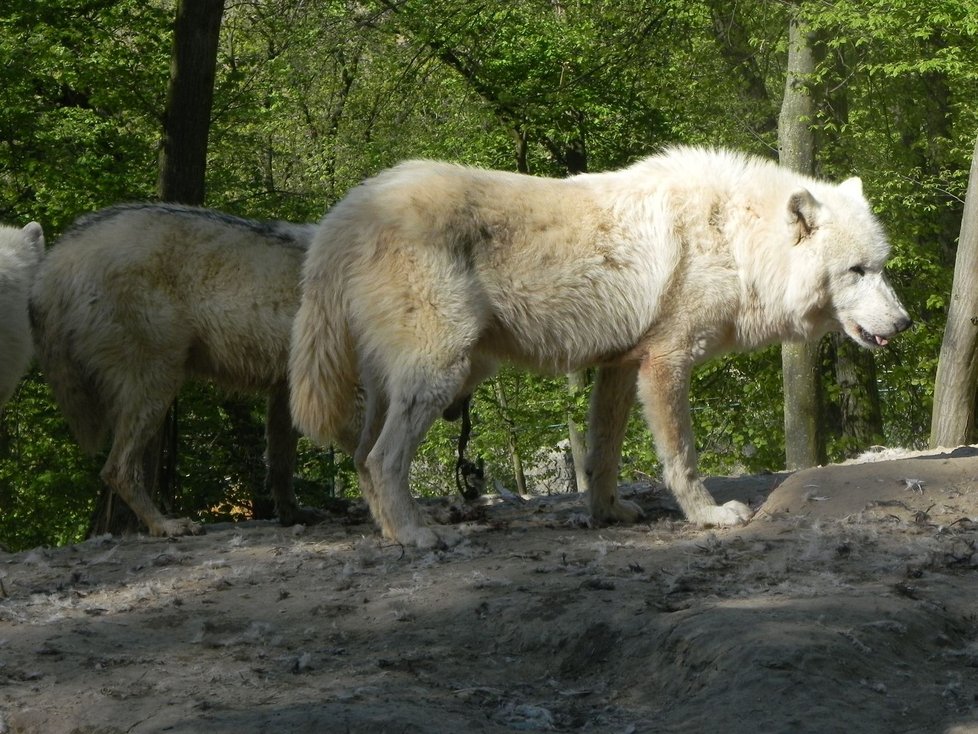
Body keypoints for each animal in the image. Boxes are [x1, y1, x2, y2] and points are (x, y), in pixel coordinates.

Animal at [29, 204, 316, 536]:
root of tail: (58, 256)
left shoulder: (286, 392)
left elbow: (281, 465)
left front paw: (291, 514)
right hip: (159, 386)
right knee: (117, 469)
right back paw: (164, 525)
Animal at [288, 147, 908, 548]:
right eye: (856, 271)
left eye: (881, 266)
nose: (904, 322)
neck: (734, 240)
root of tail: (346, 211)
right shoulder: (666, 362)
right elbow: (682, 456)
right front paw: (708, 515)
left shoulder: (620, 366)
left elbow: (601, 453)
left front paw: (606, 513)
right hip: (445, 373)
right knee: (381, 459)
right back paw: (416, 535)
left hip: (404, 384)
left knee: (362, 459)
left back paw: (394, 530)